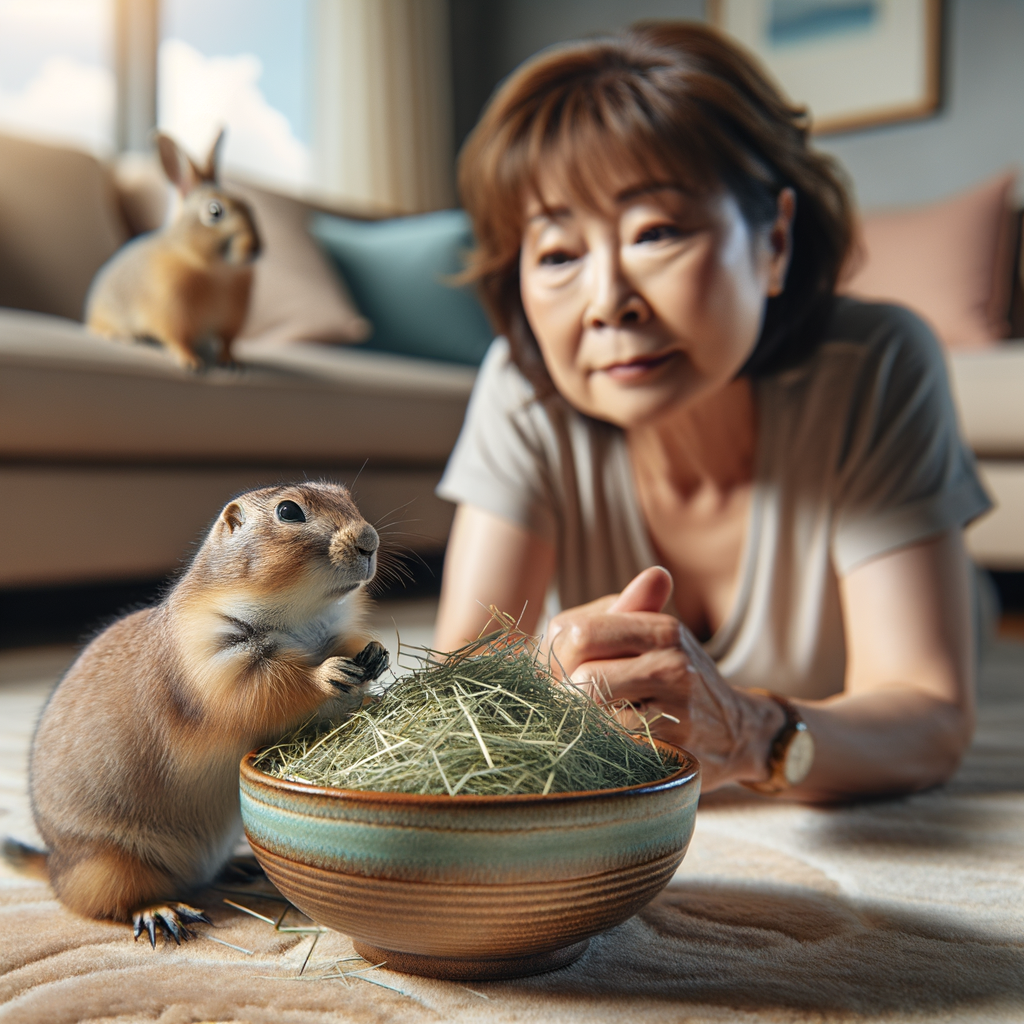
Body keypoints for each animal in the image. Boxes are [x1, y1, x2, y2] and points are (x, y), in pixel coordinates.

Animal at [86, 128, 262, 368]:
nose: (256, 247)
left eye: (249, 206)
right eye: (214, 211)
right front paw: (190, 361)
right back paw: (121, 336)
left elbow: (227, 343)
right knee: (96, 329)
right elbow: (178, 339)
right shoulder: (172, 313)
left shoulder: (231, 321)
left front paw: (230, 361)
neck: (217, 272)